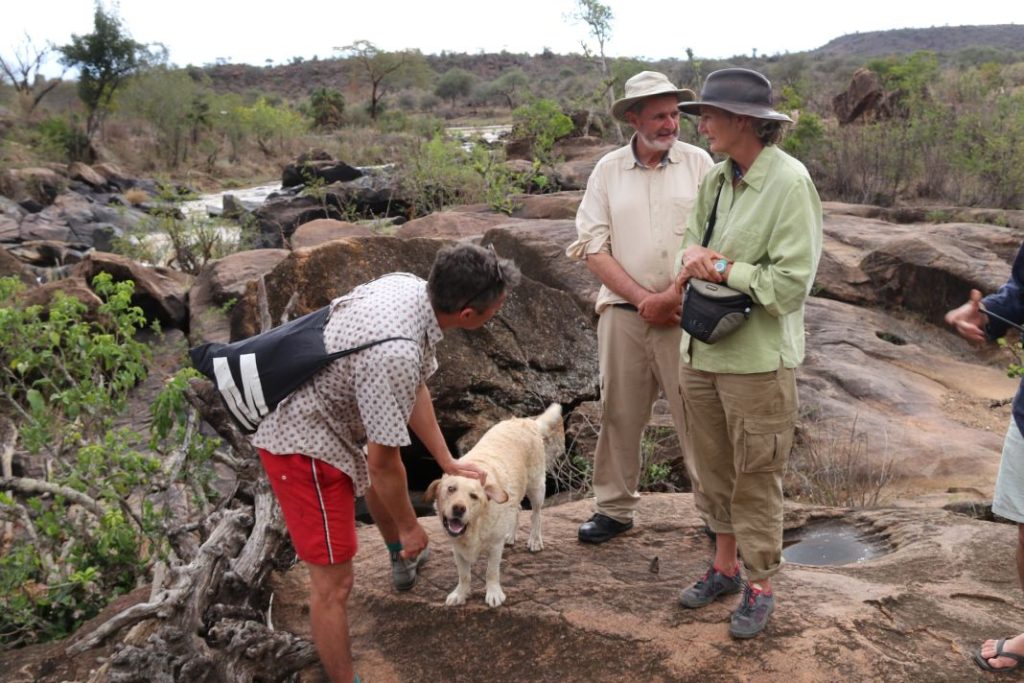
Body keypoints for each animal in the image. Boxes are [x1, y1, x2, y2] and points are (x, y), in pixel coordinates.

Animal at [425, 403, 569, 606]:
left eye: (474, 496)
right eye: (451, 489)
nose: (459, 509)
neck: (474, 527)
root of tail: (527, 421)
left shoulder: (494, 547)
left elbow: (491, 572)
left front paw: (493, 594)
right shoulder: (457, 549)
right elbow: (464, 575)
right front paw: (460, 593)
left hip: (537, 487)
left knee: (536, 514)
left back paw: (534, 540)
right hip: (514, 494)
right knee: (517, 509)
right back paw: (510, 535)